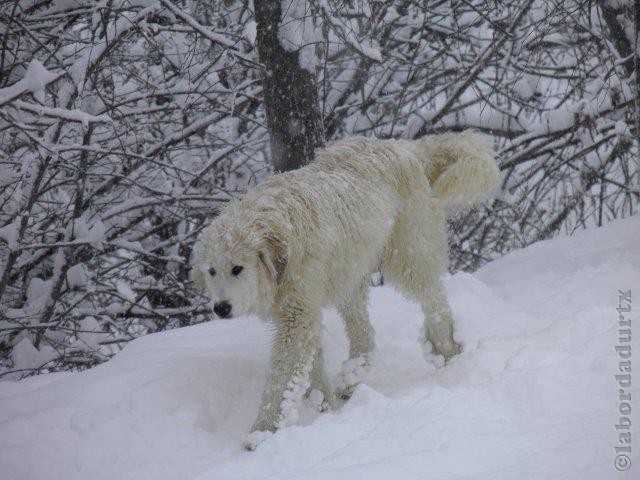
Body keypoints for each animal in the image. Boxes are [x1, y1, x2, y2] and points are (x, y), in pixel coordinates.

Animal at [190, 129, 500, 448]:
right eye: (212, 271)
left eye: (237, 268)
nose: (220, 308)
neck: (282, 240)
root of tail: (399, 145)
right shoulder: (303, 313)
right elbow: (310, 369)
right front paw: (324, 407)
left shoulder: (296, 318)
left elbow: (281, 377)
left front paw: (261, 431)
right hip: (350, 275)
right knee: (365, 337)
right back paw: (352, 379)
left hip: (407, 257)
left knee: (435, 301)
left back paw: (447, 351)